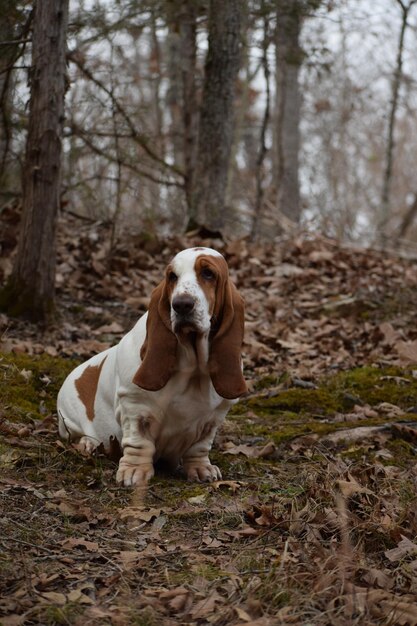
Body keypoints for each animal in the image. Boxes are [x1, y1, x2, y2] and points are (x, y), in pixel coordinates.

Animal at [58, 246, 247, 486]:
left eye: (208, 273)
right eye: (172, 277)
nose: (181, 305)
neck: (192, 365)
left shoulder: (213, 418)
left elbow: (199, 447)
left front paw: (201, 469)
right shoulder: (135, 407)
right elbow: (139, 443)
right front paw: (134, 472)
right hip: (69, 419)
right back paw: (88, 444)